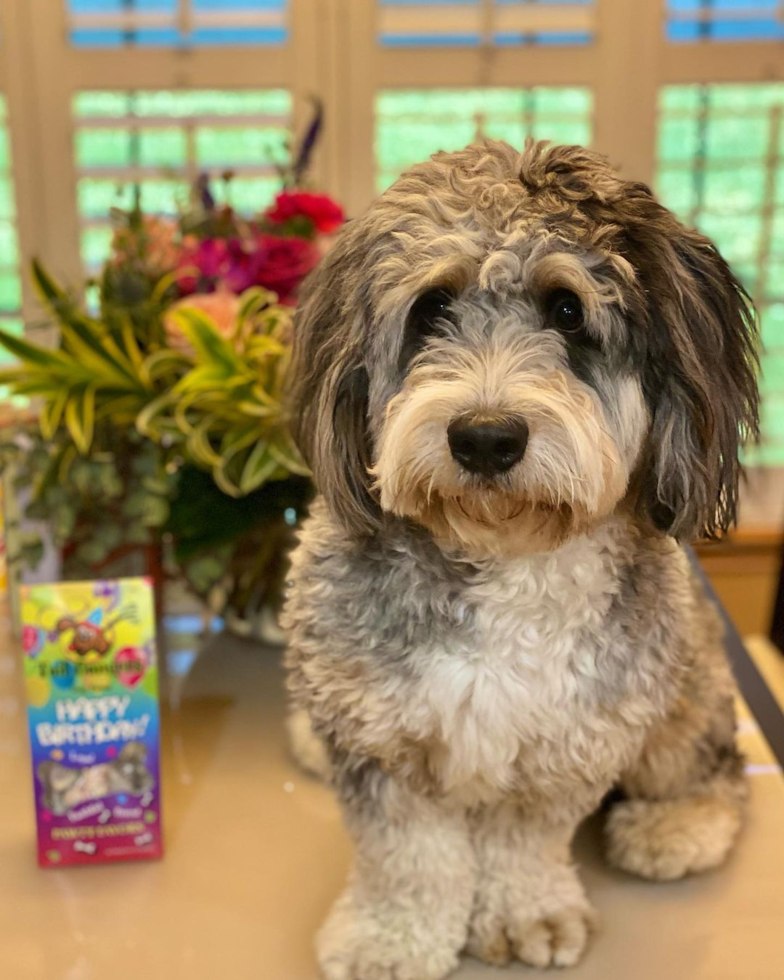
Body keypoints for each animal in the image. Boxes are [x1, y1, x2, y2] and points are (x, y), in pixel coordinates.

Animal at [282, 140, 760, 980]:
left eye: (567, 310)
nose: (485, 436)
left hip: (682, 693)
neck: (503, 555)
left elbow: (523, 844)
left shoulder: (569, 742)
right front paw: (390, 940)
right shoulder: (380, 740)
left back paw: (676, 827)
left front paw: (523, 915)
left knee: (721, 771)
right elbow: (407, 858)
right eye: (431, 309)